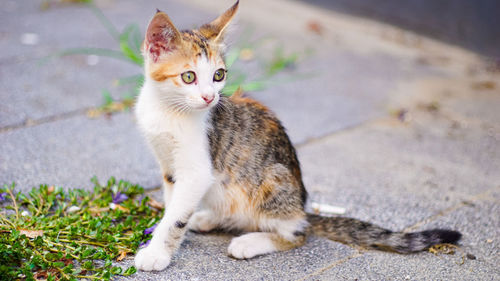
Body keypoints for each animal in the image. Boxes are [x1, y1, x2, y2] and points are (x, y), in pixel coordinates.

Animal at [133, 1, 460, 270]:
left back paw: (250, 242)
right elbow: (175, 206)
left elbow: (176, 216)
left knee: (297, 232)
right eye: (188, 76)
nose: (209, 97)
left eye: (218, 75)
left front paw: (157, 253)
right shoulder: (169, 167)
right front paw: (169, 238)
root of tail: (302, 206)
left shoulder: (198, 170)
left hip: (272, 181)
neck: (168, 110)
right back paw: (208, 218)